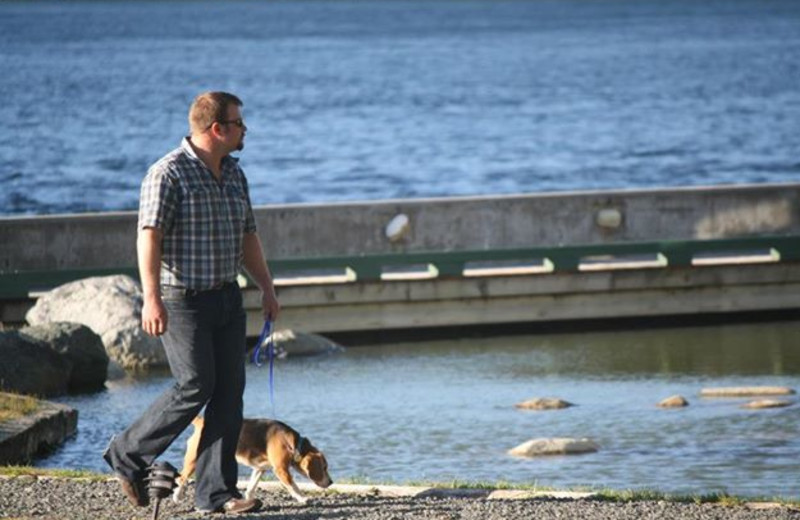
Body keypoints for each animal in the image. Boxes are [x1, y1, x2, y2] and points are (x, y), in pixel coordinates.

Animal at [175, 414, 334, 504]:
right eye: (324, 468)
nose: (331, 482)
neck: (294, 444)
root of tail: (201, 422)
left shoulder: (259, 468)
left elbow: (252, 486)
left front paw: (249, 499)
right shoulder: (281, 470)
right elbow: (293, 486)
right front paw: (302, 498)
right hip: (193, 459)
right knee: (181, 478)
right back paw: (177, 496)